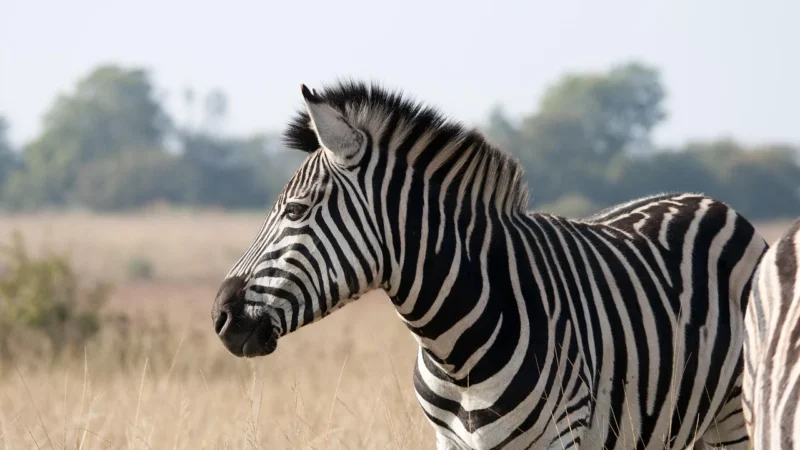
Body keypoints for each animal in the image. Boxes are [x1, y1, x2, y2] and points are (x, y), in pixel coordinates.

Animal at [210, 80, 768, 449]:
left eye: (295, 211)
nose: (219, 316)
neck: (455, 349)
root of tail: (710, 201)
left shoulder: (561, 438)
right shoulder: (449, 441)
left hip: (734, 415)